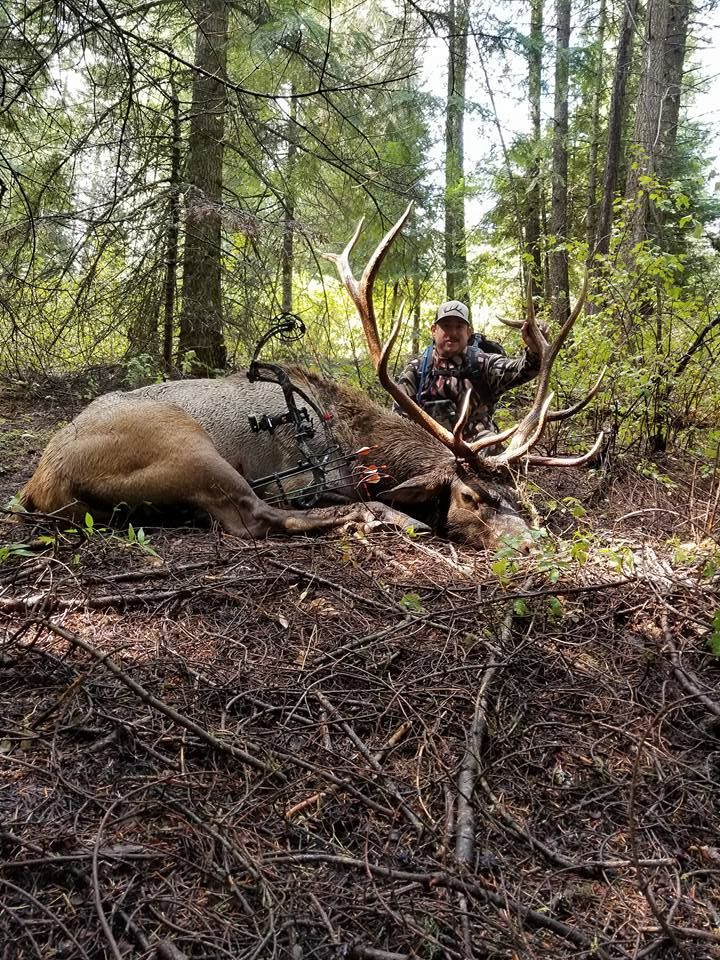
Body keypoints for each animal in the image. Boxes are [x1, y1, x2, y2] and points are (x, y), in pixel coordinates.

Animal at [16, 205, 603, 549]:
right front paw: (396, 514)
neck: (356, 441)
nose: (531, 544)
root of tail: (40, 483)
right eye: (471, 496)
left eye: (511, 495)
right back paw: (379, 518)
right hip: (183, 446)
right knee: (254, 516)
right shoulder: (304, 480)